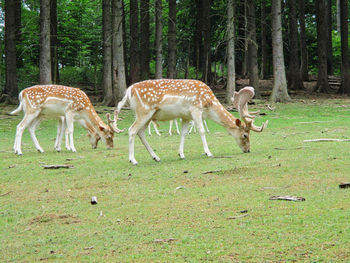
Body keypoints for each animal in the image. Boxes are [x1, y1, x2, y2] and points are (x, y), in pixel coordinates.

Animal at [115, 79, 268, 165]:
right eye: (245, 135)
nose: (248, 150)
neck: (209, 105)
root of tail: (128, 92)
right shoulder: (196, 109)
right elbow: (201, 131)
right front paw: (208, 153)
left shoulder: (185, 116)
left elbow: (184, 133)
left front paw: (181, 154)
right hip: (143, 111)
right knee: (132, 130)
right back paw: (133, 160)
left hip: (149, 115)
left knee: (140, 132)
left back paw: (156, 157)